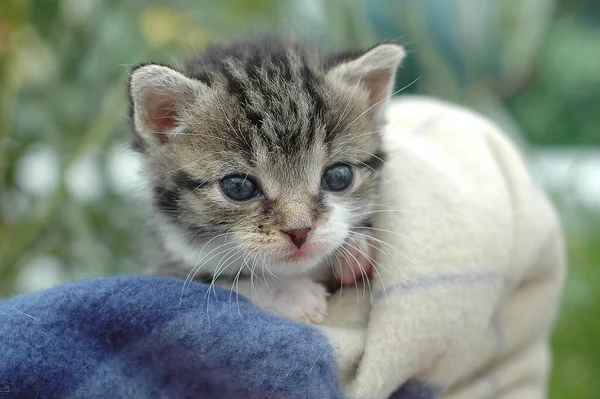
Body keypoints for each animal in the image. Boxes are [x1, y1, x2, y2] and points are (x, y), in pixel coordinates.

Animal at [128, 33, 406, 322]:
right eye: (238, 187)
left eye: (339, 176)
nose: (300, 231)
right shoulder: (167, 268)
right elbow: (225, 285)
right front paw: (290, 294)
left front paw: (357, 247)